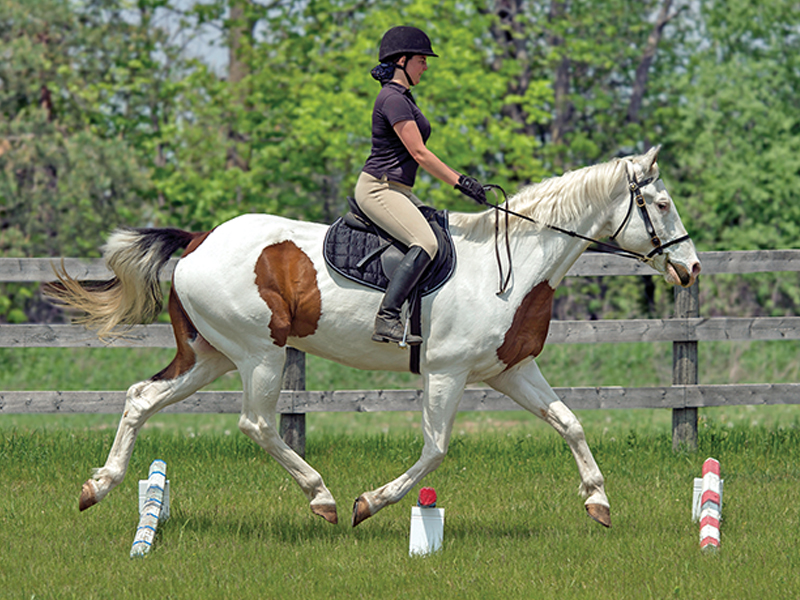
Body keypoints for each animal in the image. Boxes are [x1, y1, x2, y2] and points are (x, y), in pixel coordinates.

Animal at [46, 146, 700, 529]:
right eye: (662, 203)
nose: (690, 268)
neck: (512, 265)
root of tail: (198, 240)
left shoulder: (511, 370)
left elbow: (570, 423)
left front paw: (598, 502)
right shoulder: (447, 372)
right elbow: (435, 448)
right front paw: (371, 502)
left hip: (210, 356)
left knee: (141, 397)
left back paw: (97, 487)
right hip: (260, 354)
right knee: (256, 424)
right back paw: (324, 498)